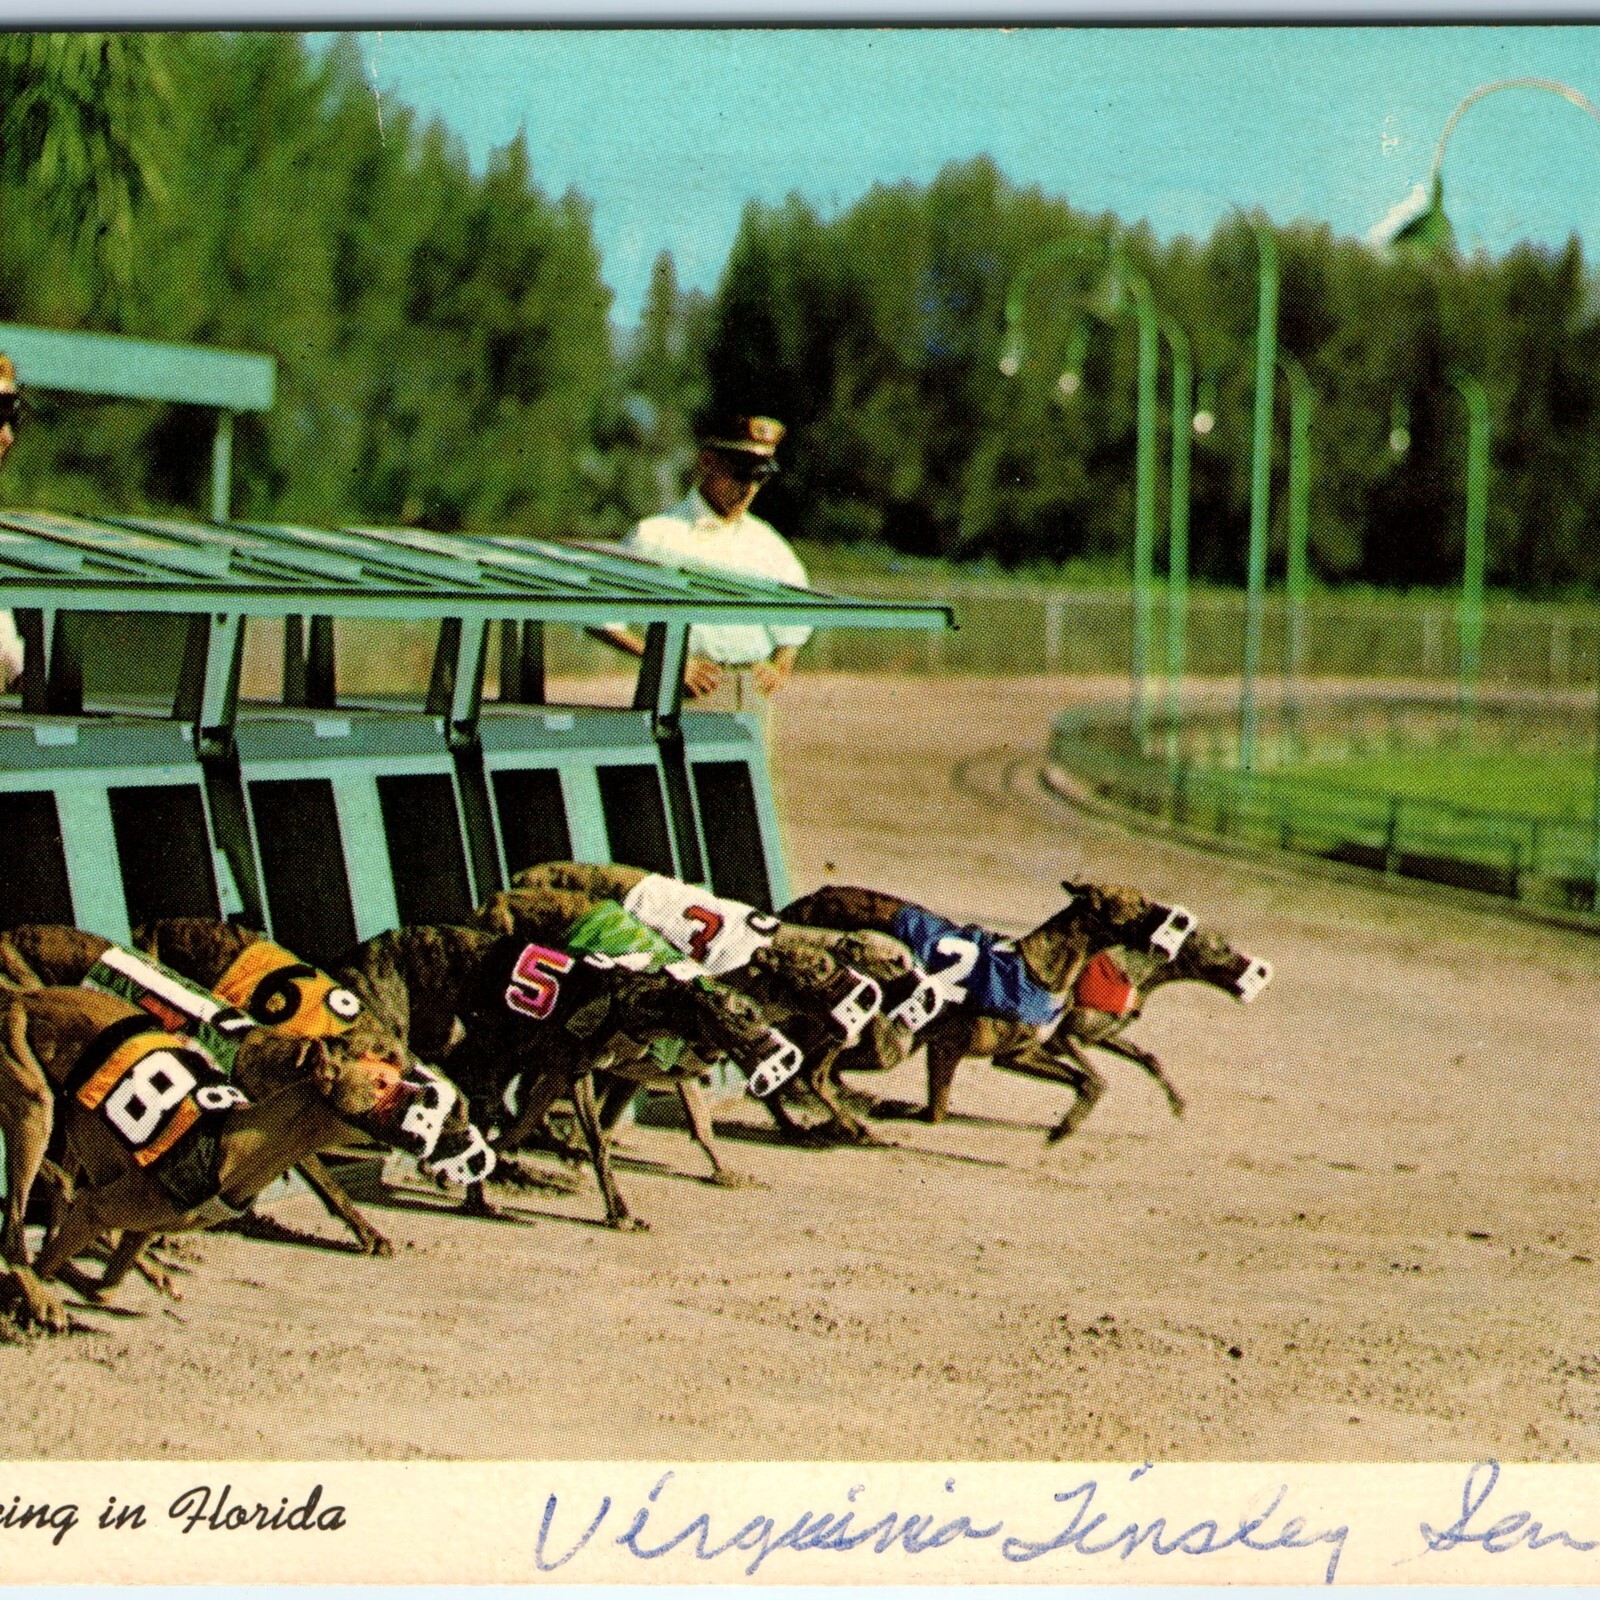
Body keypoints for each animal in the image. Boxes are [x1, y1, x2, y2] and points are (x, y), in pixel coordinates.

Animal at [780, 881, 1196, 1137]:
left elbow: (1089, 1080)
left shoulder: (1017, 1055)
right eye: (1140, 904)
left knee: (824, 1071)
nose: (1183, 921)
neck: (1039, 968)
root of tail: (813, 898)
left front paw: (1065, 1127)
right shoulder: (947, 1049)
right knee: (817, 1072)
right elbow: (935, 1113)